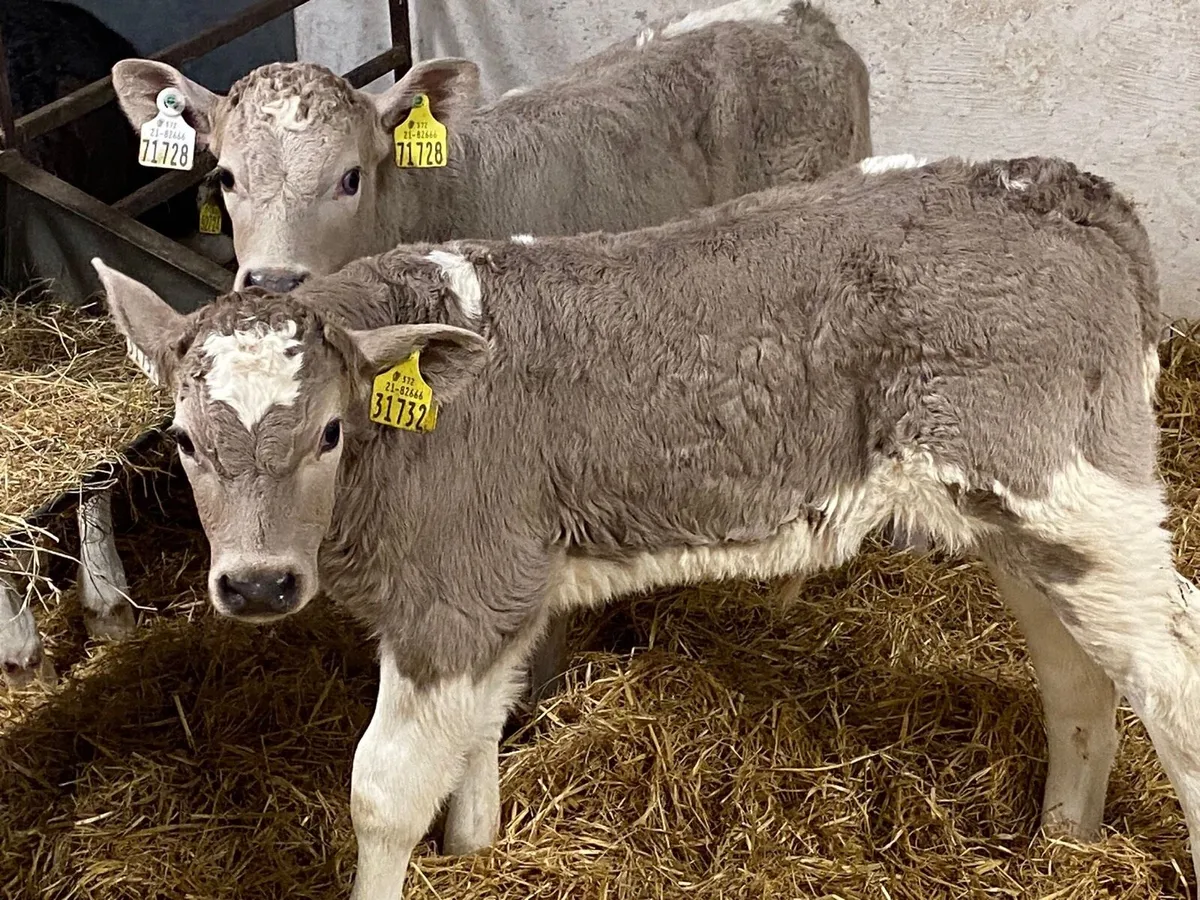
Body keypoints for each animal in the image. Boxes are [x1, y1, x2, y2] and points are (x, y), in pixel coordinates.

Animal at [92, 153, 1199, 899]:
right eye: (183, 440)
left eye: (328, 429)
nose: (258, 584)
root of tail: (1063, 186)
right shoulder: (505, 591)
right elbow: (476, 743)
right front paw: (478, 852)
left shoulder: (458, 593)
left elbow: (384, 791)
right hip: (1027, 518)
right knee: (1077, 676)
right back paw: (1065, 842)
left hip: (1072, 493)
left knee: (1174, 676)